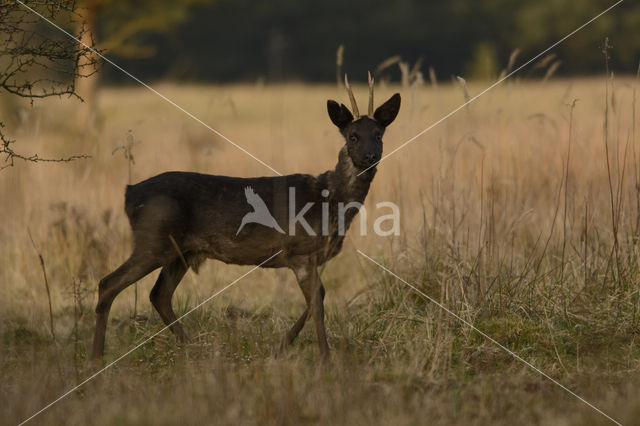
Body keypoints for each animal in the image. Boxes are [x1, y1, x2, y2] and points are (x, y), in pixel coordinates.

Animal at [91, 74, 400, 360]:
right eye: (352, 136)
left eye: (379, 134)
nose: (371, 156)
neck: (329, 200)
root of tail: (129, 193)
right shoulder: (300, 251)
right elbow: (317, 303)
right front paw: (325, 357)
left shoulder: (308, 258)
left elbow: (318, 298)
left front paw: (280, 347)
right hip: (154, 239)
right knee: (108, 283)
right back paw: (96, 355)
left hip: (182, 251)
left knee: (159, 294)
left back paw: (193, 348)